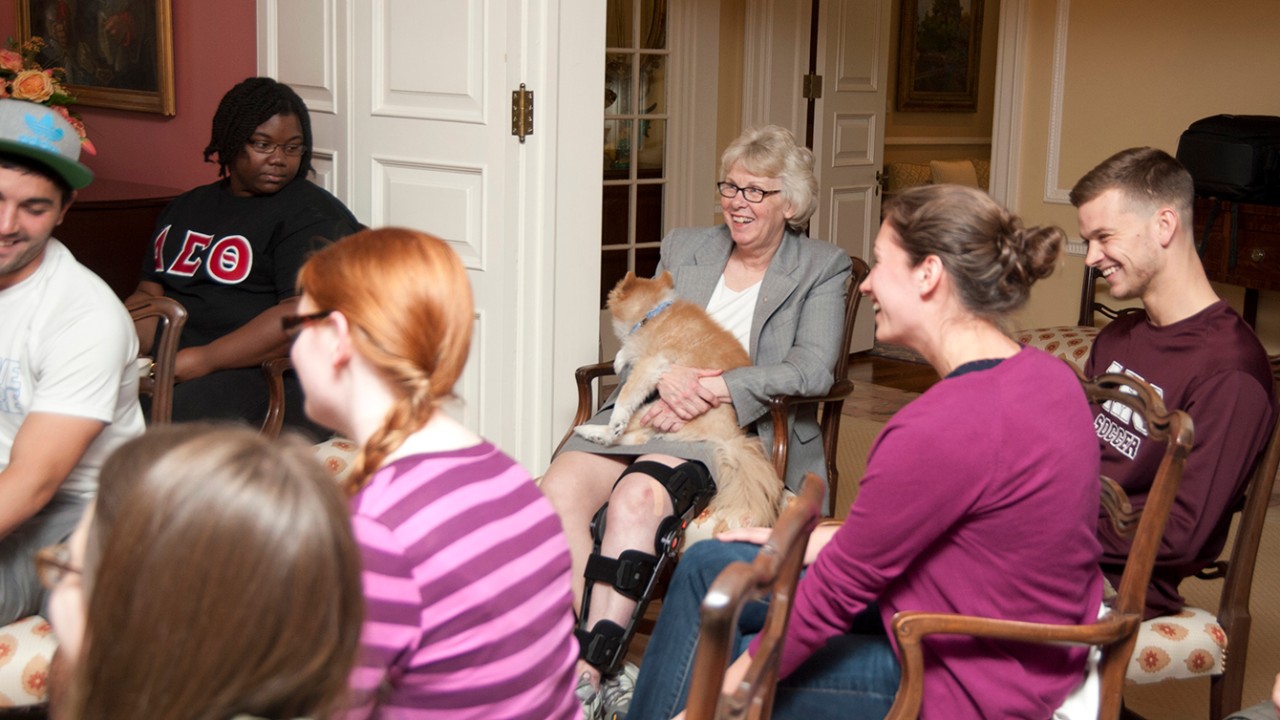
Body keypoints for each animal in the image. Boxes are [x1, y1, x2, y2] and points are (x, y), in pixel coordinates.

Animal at [578, 271, 778, 525]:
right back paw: (593, 434)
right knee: (637, 438)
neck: (652, 314)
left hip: (656, 409)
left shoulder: (651, 365)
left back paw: (599, 431)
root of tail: (733, 438)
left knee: (632, 434)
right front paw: (620, 359)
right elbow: (627, 353)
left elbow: (626, 395)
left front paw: (616, 418)